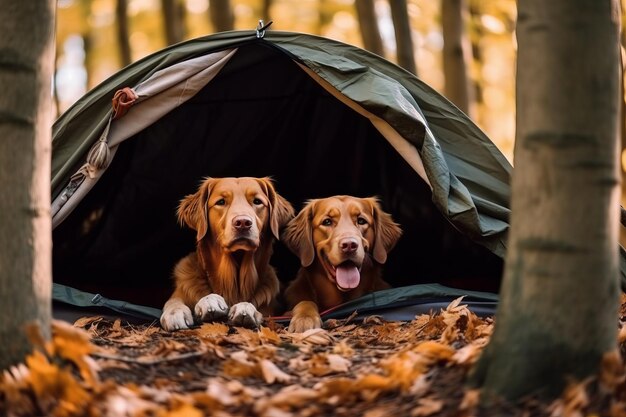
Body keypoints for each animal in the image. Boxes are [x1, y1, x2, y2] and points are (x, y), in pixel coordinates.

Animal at [157, 177, 292, 330]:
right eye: (221, 202)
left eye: (257, 201)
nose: (243, 222)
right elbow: (174, 300)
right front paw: (176, 312)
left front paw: (245, 308)